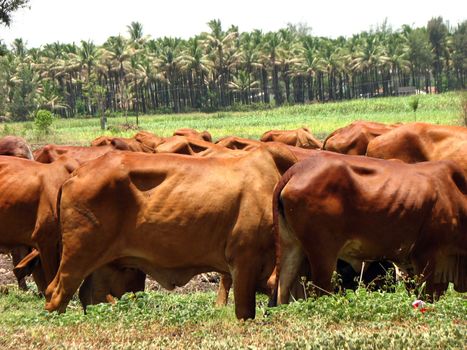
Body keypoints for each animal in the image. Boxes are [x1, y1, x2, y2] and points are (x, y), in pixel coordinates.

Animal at [45, 146, 298, 320]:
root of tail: (76, 173)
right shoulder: (244, 260)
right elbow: (245, 312)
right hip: (78, 256)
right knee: (56, 293)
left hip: (104, 264)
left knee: (91, 296)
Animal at [274, 153, 467, 304]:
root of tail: (296, 170)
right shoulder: (426, 255)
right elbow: (426, 296)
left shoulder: (408, 263)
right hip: (323, 254)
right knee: (319, 291)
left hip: (291, 247)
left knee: (281, 290)